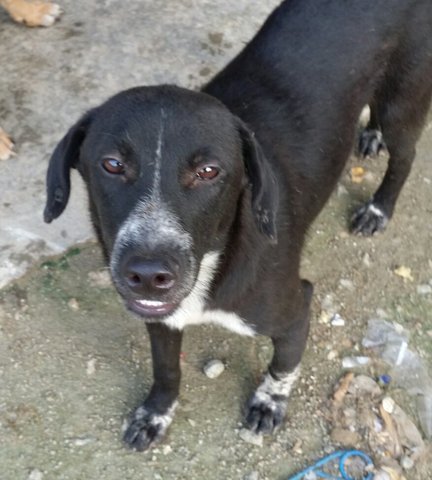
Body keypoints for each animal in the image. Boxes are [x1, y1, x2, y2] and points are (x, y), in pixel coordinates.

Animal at [43, 0, 432, 450]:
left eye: (209, 171)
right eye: (112, 164)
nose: (148, 274)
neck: (216, 257)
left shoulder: (295, 308)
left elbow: (284, 364)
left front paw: (269, 401)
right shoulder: (161, 317)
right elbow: (166, 368)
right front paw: (156, 413)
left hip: (401, 103)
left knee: (405, 156)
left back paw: (378, 208)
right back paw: (369, 136)